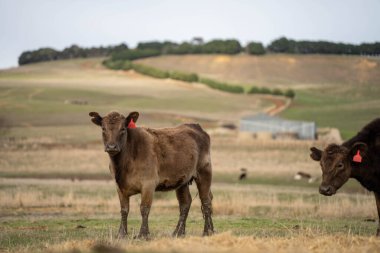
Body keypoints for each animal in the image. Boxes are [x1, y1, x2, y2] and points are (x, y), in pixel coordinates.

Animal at [88, 111, 214, 239]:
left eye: (123, 128)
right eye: (103, 128)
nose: (111, 146)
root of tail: (194, 126)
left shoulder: (148, 184)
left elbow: (144, 208)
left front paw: (143, 234)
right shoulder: (119, 186)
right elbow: (124, 210)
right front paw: (121, 234)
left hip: (204, 172)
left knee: (206, 201)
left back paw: (207, 232)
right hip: (182, 180)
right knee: (185, 203)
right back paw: (178, 233)